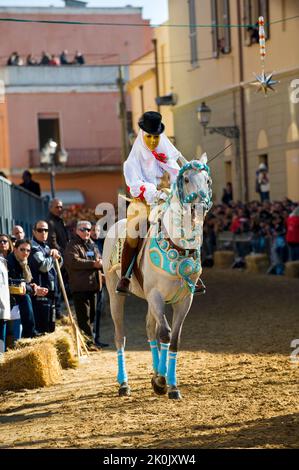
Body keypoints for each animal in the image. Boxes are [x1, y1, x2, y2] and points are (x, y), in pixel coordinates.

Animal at [103, 152, 213, 398]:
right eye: (186, 179)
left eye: (208, 181)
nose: (198, 208)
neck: (179, 246)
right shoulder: (156, 295)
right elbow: (164, 333)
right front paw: (163, 382)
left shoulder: (184, 300)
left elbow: (174, 339)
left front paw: (169, 383)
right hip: (115, 294)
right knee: (120, 335)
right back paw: (124, 384)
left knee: (149, 329)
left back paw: (153, 373)